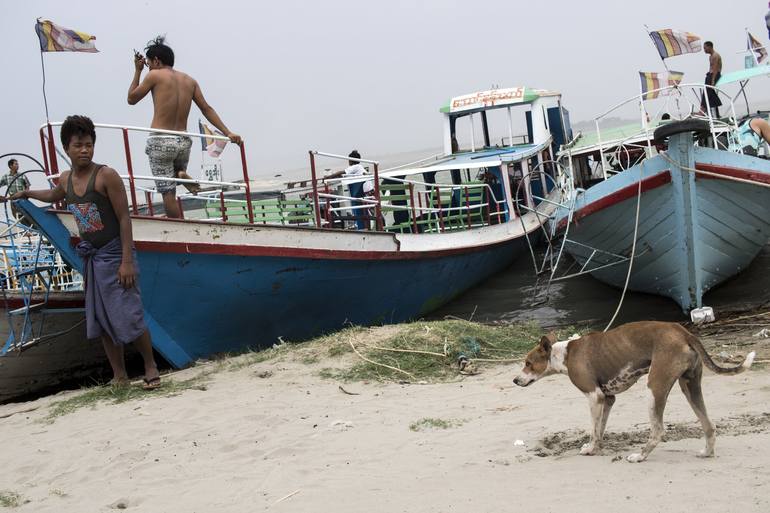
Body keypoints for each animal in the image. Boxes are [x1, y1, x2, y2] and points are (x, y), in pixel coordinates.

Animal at [512, 320, 752, 460]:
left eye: (528, 363)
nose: (515, 380)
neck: (565, 354)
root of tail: (683, 332)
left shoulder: (593, 396)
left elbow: (593, 429)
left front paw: (590, 449)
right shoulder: (606, 399)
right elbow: (600, 429)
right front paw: (596, 447)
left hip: (654, 388)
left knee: (657, 431)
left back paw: (640, 456)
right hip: (690, 387)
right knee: (709, 425)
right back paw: (707, 452)